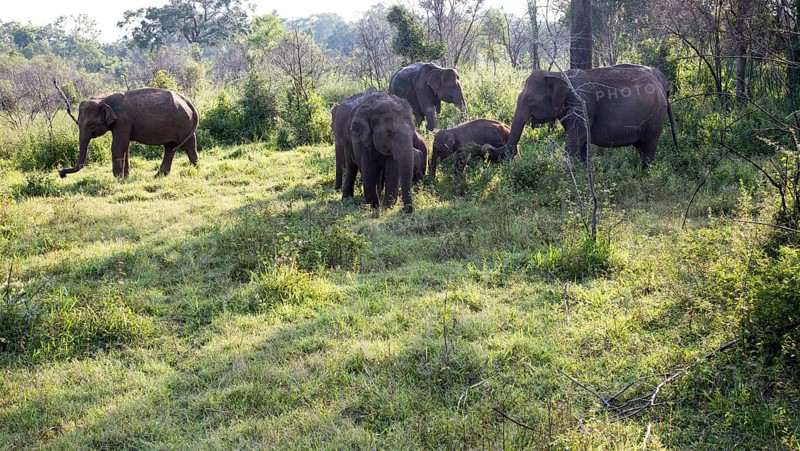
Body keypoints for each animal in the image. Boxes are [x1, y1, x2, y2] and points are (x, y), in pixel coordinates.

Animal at [59, 88, 199, 178]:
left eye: (90, 124)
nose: (61, 174)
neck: (104, 99)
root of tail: (188, 102)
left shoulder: (122, 121)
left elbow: (118, 145)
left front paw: (117, 178)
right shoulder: (123, 123)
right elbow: (126, 146)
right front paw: (125, 177)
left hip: (183, 123)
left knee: (188, 146)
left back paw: (195, 171)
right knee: (170, 148)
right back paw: (159, 176)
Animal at [482, 64, 677, 167]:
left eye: (530, 99)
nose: (486, 147)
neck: (558, 74)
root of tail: (662, 84)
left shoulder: (582, 103)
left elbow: (575, 141)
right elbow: (581, 143)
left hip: (655, 117)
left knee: (648, 147)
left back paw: (644, 173)